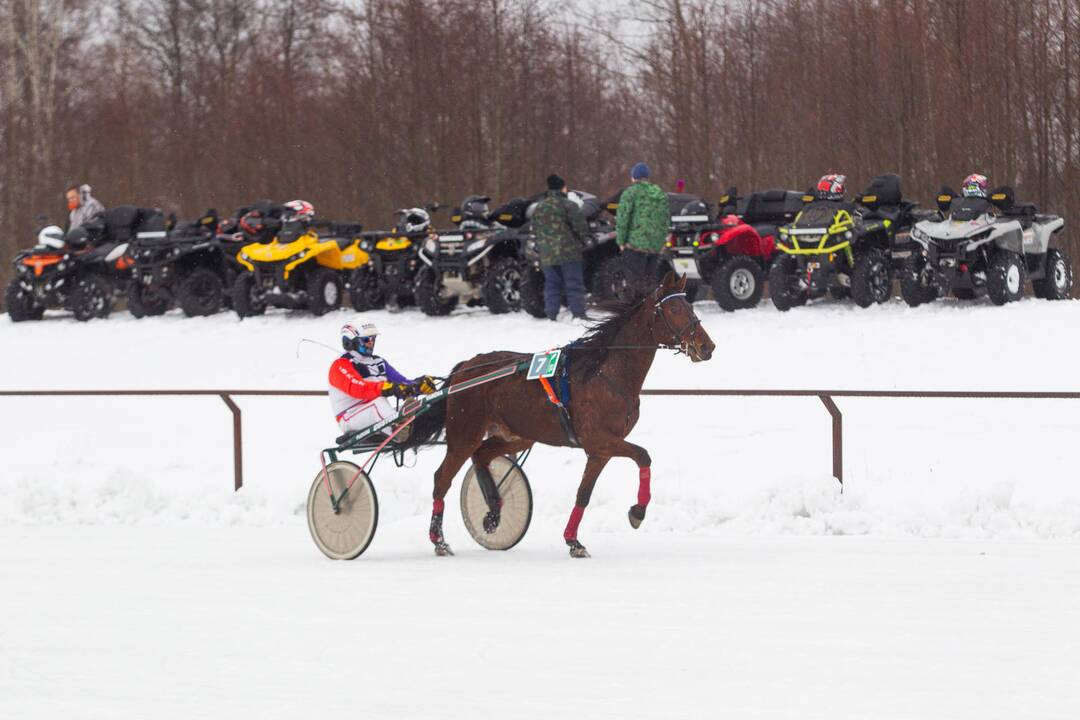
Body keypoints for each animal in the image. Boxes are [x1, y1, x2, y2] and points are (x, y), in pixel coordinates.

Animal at [416, 273, 712, 561]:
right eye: (674, 309)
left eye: (690, 306)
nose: (707, 346)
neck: (605, 373)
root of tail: (466, 367)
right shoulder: (599, 439)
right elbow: (643, 456)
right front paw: (637, 512)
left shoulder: (600, 451)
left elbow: (584, 494)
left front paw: (573, 541)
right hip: (464, 434)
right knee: (442, 478)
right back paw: (439, 540)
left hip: (518, 435)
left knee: (481, 456)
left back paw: (494, 511)